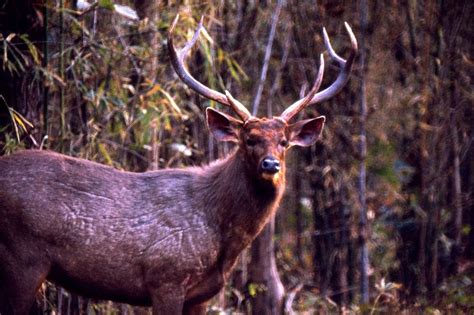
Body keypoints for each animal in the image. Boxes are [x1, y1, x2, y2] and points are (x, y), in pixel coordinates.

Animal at [0, 16, 356, 315]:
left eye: (283, 141)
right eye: (249, 138)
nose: (270, 165)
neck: (220, 231)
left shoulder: (200, 294)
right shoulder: (166, 276)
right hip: (22, 257)